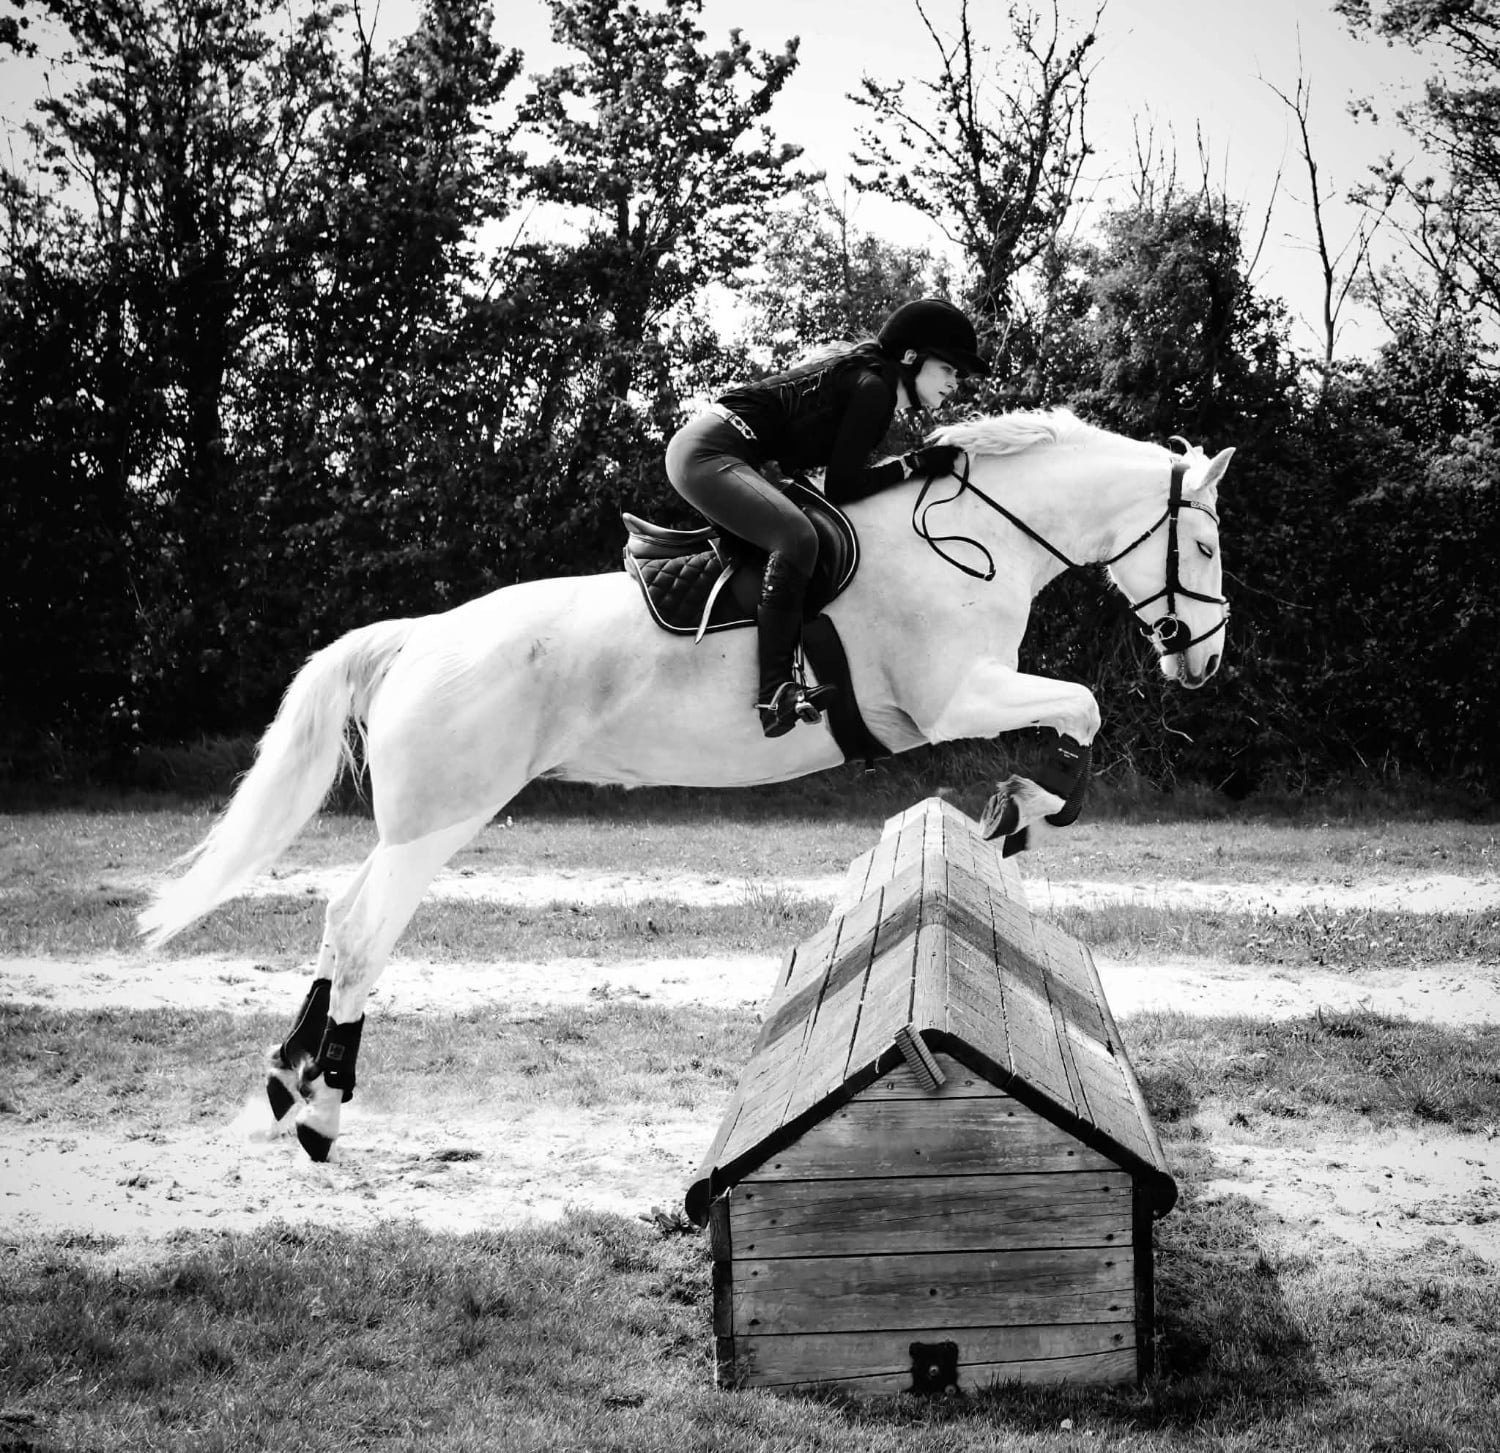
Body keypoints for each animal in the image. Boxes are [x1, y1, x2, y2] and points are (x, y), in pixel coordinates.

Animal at [139, 408, 1234, 1160]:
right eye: (1206, 544)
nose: (1205, 660)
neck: (972, 544)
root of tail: (419, 636)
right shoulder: (949, 698)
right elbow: (1082, 711)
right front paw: (1030, 805)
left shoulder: (964, 699)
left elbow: (1063, 719)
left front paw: (1015, 806)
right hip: (439, 821)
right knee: (366, 933)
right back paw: (322, 1107)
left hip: (415, 827)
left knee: (338, 919)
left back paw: (287, 1082)